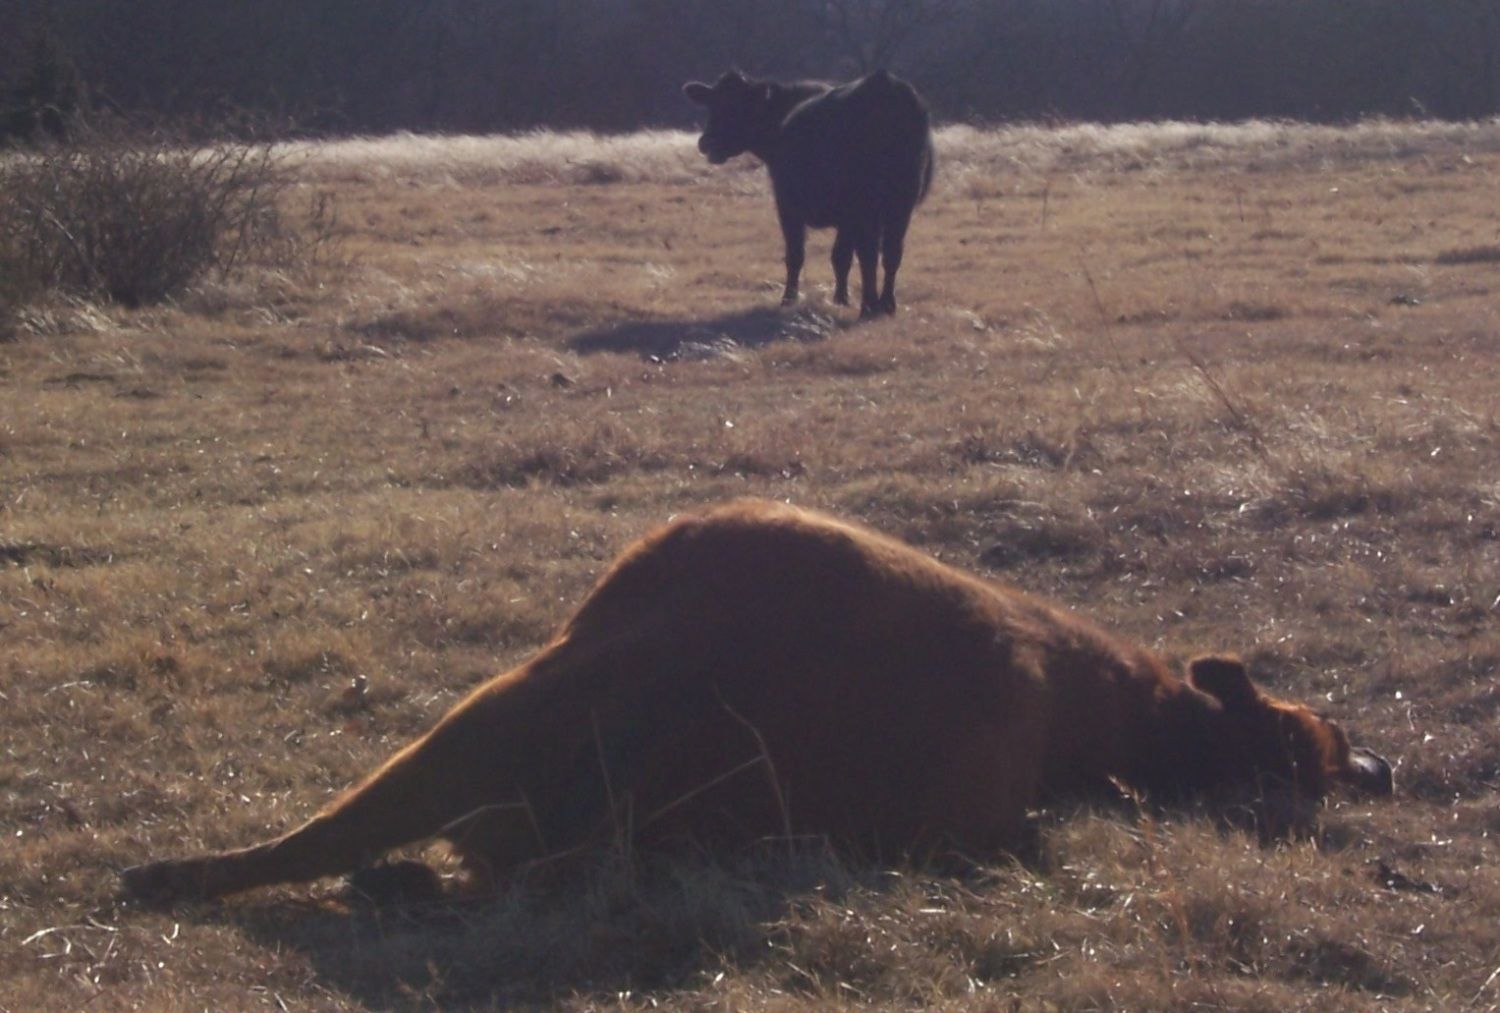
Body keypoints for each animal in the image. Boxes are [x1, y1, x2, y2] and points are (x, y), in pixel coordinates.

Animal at [683, 70, 935, 317]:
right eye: (712, 103)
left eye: (738, 106)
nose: (705, 142)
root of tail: (885, 84)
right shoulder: (848, 219)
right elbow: (841, 256)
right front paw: (841, 299)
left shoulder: (787, 204)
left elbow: (796, 255)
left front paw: (788, 300)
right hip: (901, 202)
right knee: (891, 253)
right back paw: (887, 304)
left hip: (867, 204)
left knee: (870, 255)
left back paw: (869, 306)